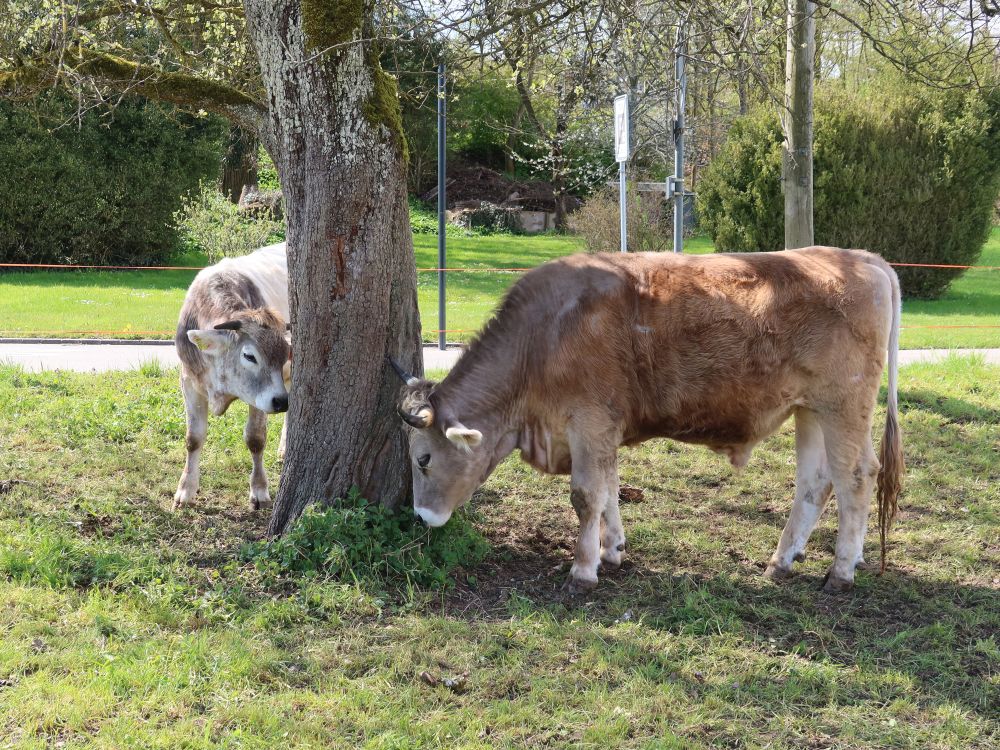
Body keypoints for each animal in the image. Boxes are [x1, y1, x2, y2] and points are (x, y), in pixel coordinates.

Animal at [173, 242, 291, 511]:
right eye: (249, 356)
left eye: (284, 355)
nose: (281, 401)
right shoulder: (189, 381)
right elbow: (193, 438)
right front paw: (185, 490)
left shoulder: (260, 397)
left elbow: (255, 438)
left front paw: (259, 490)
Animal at [393, 247, 904, 594]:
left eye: (423, 459)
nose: (420, 516)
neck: (541, 338)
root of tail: (859, 257)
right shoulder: (603, 429)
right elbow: (609, 491)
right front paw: (612, 551)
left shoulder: (589, 420)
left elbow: (586, 496)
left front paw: (582, 570)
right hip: (809, 409)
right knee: (815, 482)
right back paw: (781, 561)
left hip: (843, 405)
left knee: (857, 477)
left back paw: (841, 570)